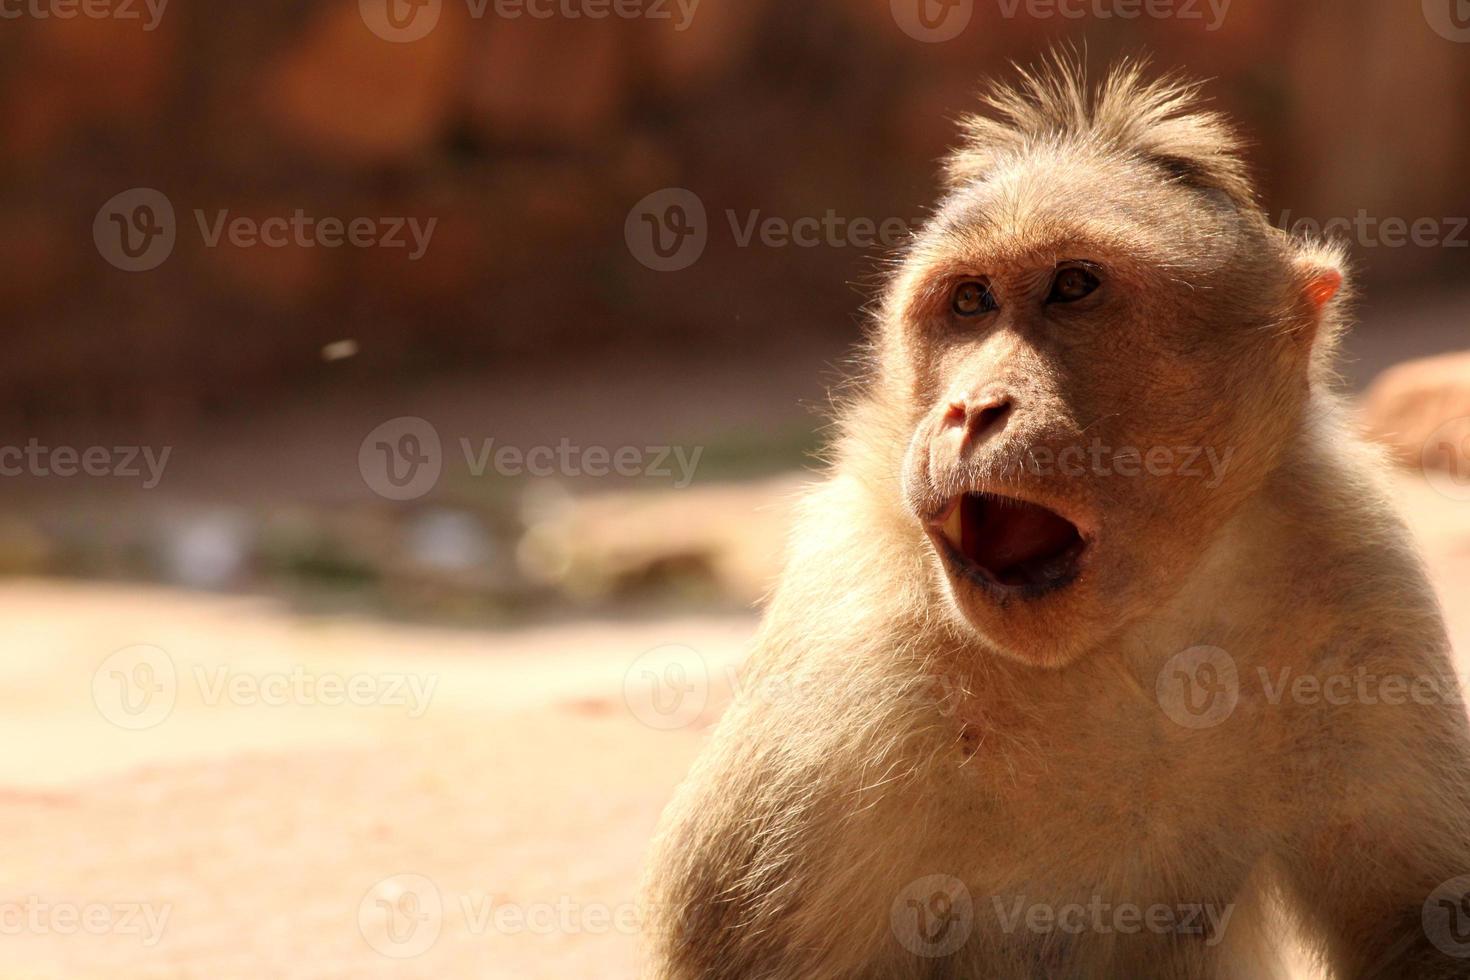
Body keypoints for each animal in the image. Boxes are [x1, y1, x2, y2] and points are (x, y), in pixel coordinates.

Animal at [646, 55, 1470, 980]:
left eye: (1074, 286)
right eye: (970, 301)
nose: (972, 409)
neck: (1119, 641)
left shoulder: (1353, 573)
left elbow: (1422, 919)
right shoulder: (850, 639)